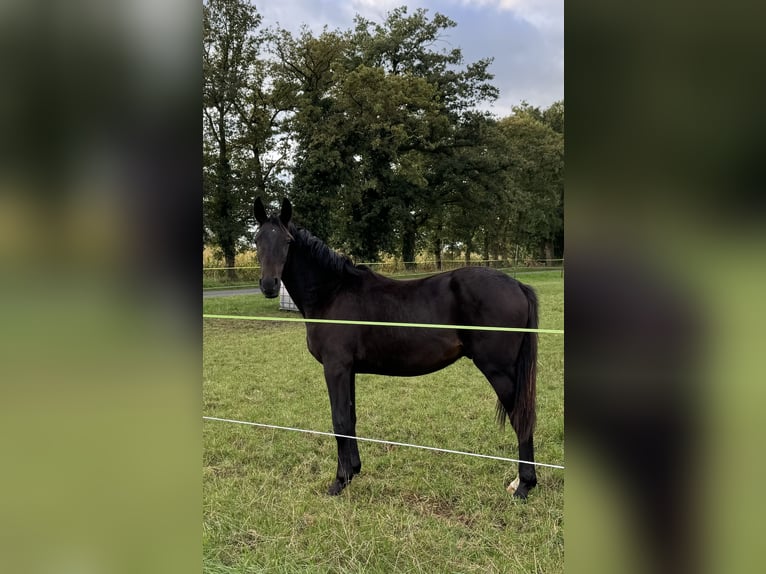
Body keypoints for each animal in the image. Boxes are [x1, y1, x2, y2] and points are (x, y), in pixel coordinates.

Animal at [254, 198, 540, 500]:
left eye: (287, 241)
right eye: (257, 239)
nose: (269, 285)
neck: (332, 292)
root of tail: (518, 285)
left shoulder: (335, 368)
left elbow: (339, 421)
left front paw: (339, 481)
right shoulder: (349, 370)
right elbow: (351, 419)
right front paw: (353, 471)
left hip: (499, 371)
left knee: (520, 418)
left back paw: (523, 485)